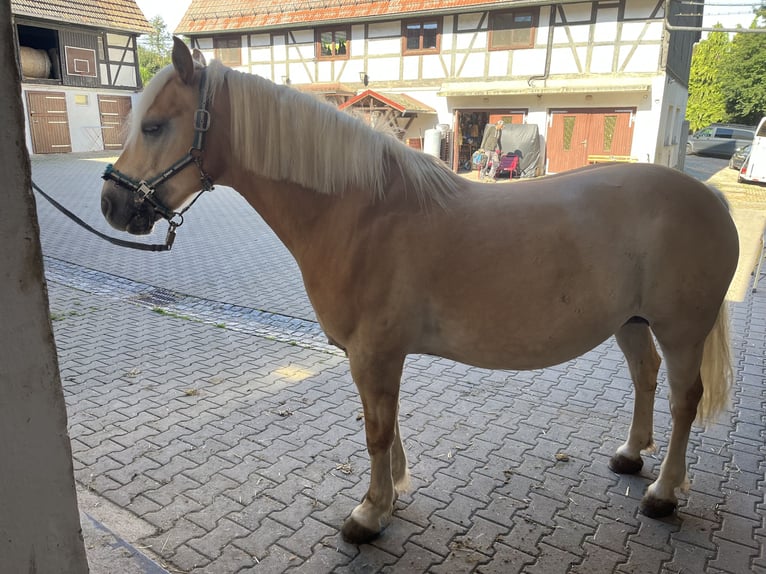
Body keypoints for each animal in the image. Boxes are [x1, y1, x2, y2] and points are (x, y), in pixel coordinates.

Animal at [101, 38, 739, 544]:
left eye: (154, 126)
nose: (111, 204)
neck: (362, 212)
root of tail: (710, 199)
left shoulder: (374, 353)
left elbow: (376, 431)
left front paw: (368, 514)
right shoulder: (376, 356)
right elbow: (386, 425)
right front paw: (392, 495)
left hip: (681, 330)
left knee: (684, 397)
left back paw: (663, 494)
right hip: (629, 322)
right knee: (645, 376)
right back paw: (631, 456)